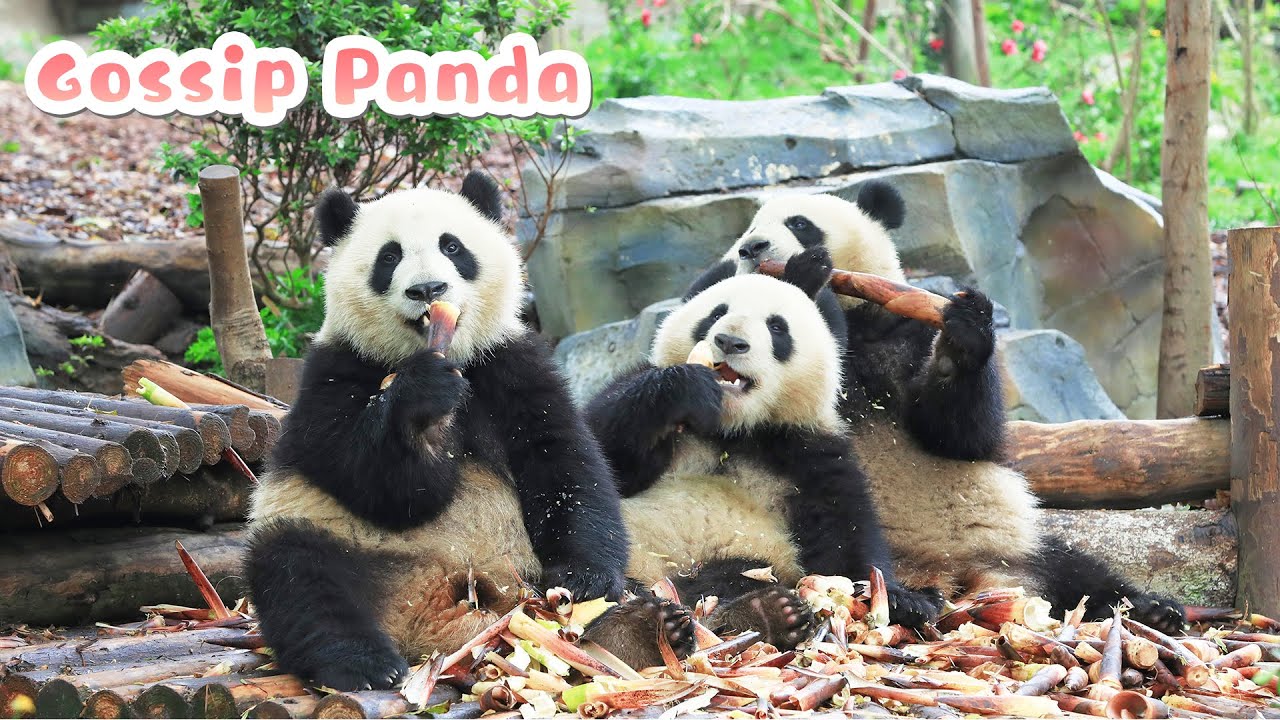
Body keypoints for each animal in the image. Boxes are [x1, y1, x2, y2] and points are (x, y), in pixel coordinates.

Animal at [245, 172, 688, 691]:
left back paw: (646, 627)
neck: (448, 354)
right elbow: (381, 486)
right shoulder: (333, 374)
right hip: (333, 536)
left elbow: (565, 465)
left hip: (528, 583)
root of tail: (432, 618)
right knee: (301, 578)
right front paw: (425, 404)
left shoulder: (510, 364)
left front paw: (584, 577)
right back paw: (364, 663)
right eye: (389, 257)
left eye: (452, 246)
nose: (427, 288)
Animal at [583, 255, 945, 658]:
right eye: (716, 314)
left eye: (777, 327)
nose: (729, 341)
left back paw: (761, 613)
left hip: (736, 557)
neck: (731, 428)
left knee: (733, 576)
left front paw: (905, 599)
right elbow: (607, 455)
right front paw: (686, 387)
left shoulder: (807, 446)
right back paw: (635, 626)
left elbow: (844, 531)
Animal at [683, 183, 1187, 634]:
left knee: (1076, 568)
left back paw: (1150, 609)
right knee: (728, 574)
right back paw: (879, 603)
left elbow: (961, 435)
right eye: (750, 226)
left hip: (1012, 540)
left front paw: (962, 339)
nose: (752, 247)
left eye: (800, 224)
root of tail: (953, 575)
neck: (859, 313)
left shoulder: (904, 332)